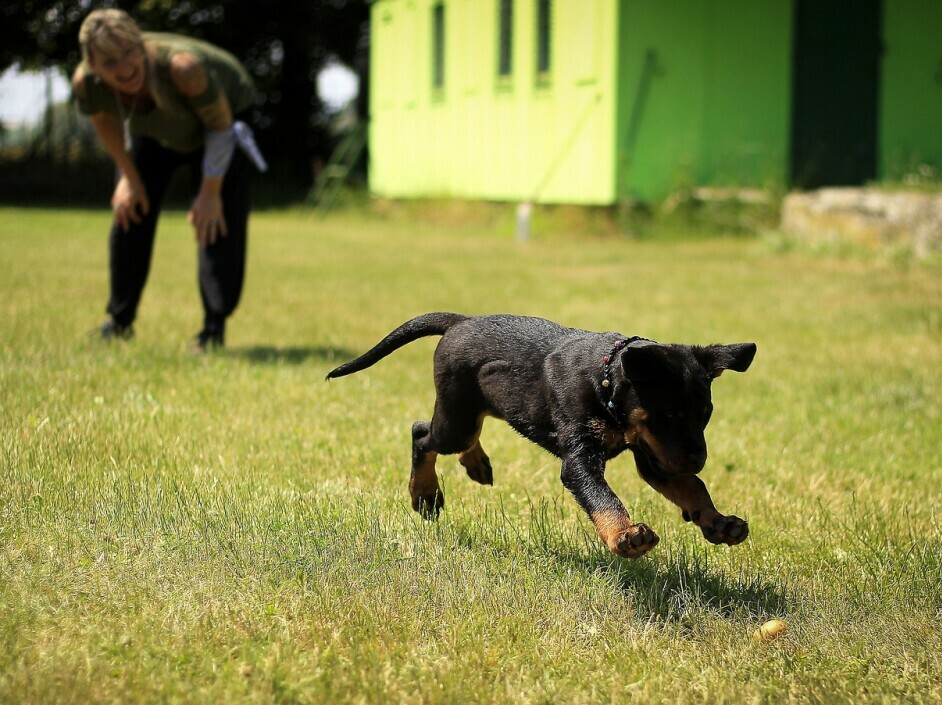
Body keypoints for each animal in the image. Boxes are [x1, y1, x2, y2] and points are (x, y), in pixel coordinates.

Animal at [328, 310, 756, 560]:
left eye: (705, 416)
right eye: (668, 415)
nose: (699, 458)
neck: (605, 381)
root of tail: (461, 321)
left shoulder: (655, 456)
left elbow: (693, 487)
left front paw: (718, 522)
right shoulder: (582, 458)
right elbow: (603, 497)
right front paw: (624, 535)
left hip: (477, 406)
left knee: (463, 434)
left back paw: (476, 463)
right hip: (456, 418)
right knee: (422, 434)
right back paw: (425, 494)